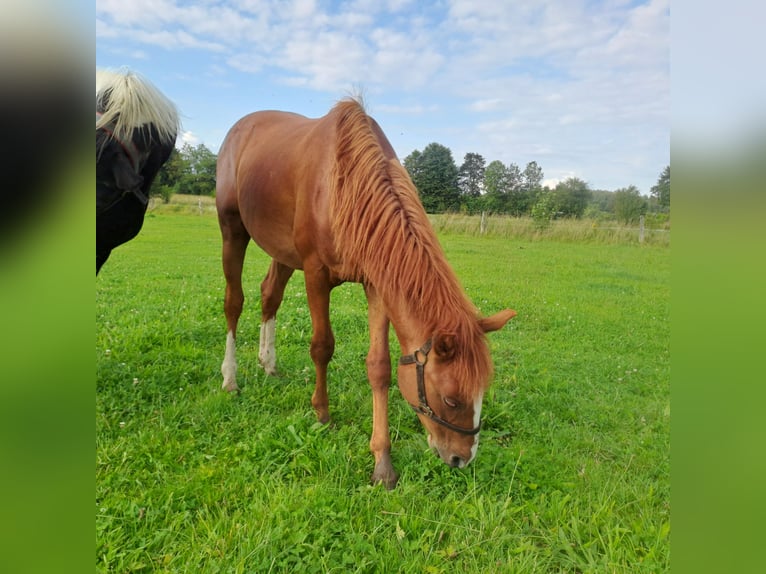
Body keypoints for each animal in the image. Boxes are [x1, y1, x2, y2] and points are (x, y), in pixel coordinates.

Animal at [216, 100, 516, 490]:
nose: (461, 459)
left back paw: (268, 363)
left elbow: (379, 367)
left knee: (270, 296)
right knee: (233, 303)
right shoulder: (315, 274)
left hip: (282, 251)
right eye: (451, 400)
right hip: (232, 229)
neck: (345, 183)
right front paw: (322, 413)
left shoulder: (377, 283)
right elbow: (322, 346)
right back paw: (230, 378)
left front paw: (382, 462)